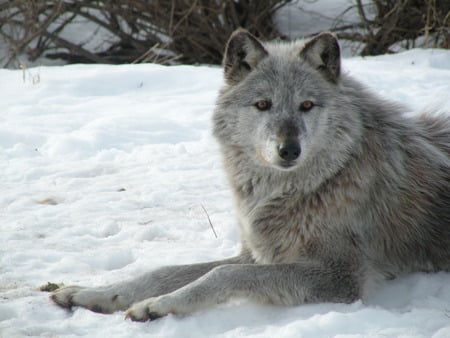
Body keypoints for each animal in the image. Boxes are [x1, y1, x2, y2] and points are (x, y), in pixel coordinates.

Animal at [50, 29, 450, 322]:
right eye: (263, 105)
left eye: (307, 105)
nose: (289, 150)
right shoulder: (256, 255)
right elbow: (162, 272)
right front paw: (93, 294)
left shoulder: (340, 278)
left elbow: (222, 275)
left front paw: (159, 305)